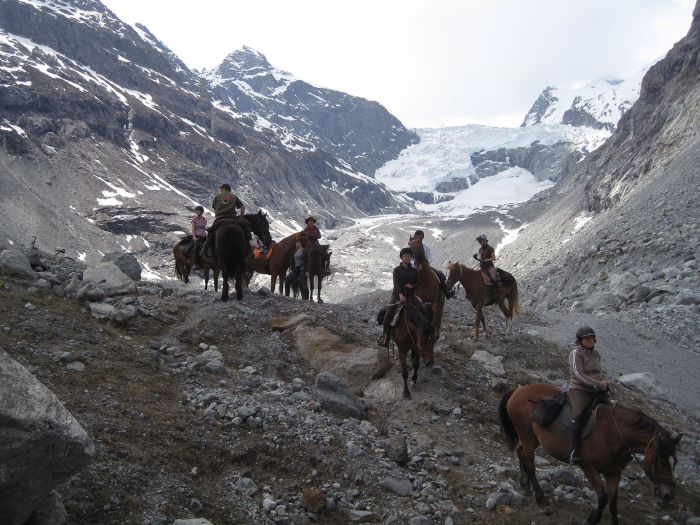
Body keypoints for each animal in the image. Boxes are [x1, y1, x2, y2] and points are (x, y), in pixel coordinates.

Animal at [498, 382, 684, 520]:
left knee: (521, 452)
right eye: (661, 461)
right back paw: (542, 502)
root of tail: (518, 391)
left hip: (532, 438)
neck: (615, 434)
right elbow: (602, 498)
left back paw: (525, 485)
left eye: (673, 461)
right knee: (530, 465)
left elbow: (613, 504)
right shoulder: (589, 468)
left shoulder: (614, 474)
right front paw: (592, 518)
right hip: (528, 436)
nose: (669, 495)